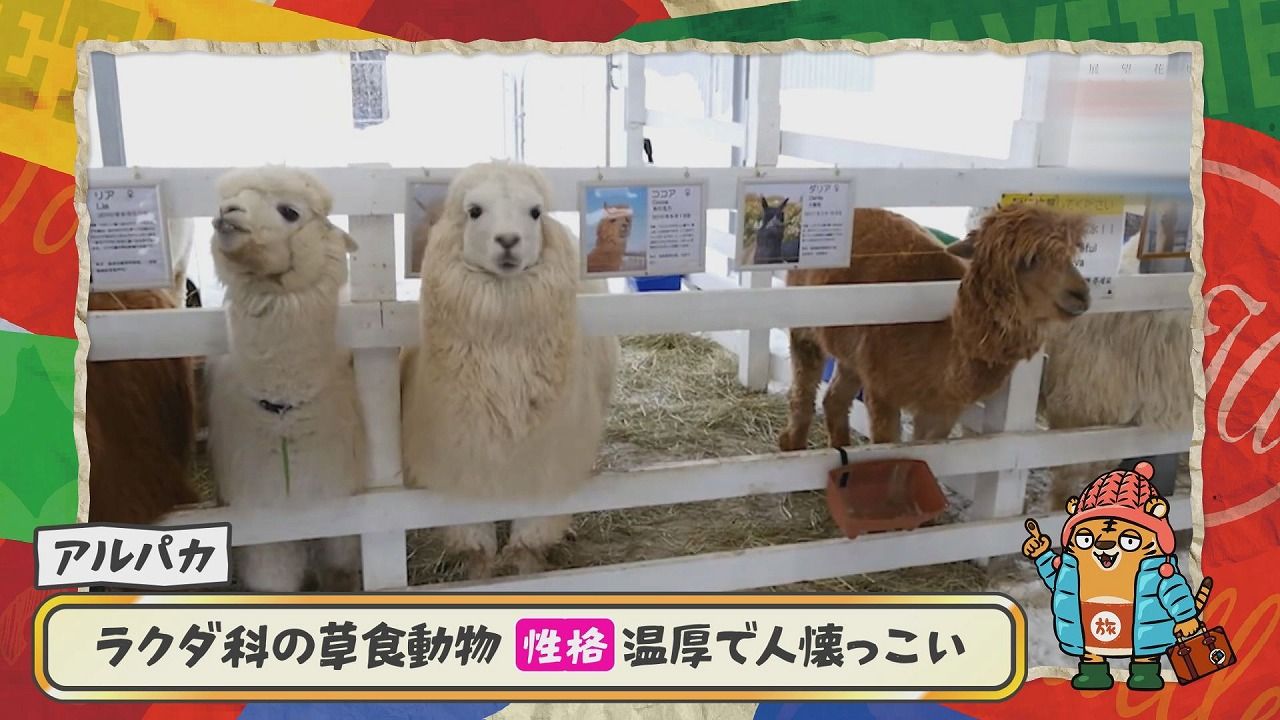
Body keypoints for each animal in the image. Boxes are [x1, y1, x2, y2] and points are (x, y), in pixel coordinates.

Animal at [204, 167, 366, 592]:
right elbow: (272, 580)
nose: (227, 212)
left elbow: (339, 571)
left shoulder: (339, 505)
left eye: (290, 211)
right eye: (227, 198)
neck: (283, 412)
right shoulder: (265, 518)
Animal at [401, 161, 620, 579]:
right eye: (474, 211)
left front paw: (526, 569)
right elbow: (478, 543)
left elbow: (528, 539)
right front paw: (480, 576)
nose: (507, 240)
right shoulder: (462, 458)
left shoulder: (547, 459)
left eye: (535, 211)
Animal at [778, 203, 1091, 451]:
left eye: (1071, 257)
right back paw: (793, 445)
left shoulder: (943, 408)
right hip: (806, 325)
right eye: (1027, 260)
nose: (1081, 294)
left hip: (852, 351)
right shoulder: (883, 390)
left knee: (834, 399)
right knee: (803, 390)